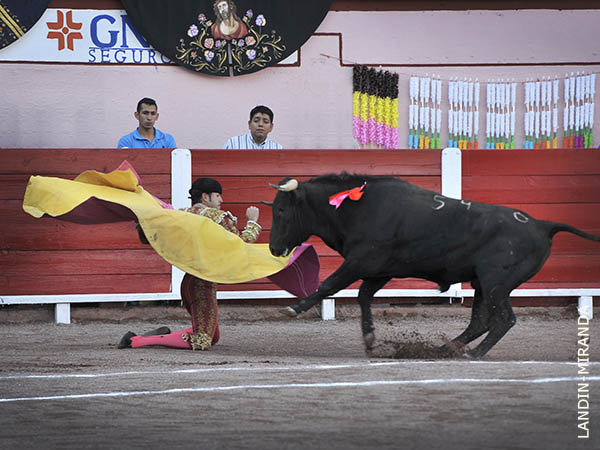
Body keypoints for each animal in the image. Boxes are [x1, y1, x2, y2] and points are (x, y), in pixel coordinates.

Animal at [268, 173, 600, 358]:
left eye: (282, 211)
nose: (273, 248)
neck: (357, 207)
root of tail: (543, 225)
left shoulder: (361, 260)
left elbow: (328, 284)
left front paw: (293, 308)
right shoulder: (380, 270)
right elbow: (363, 297)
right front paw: (370, 340)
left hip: (496, 282)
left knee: (504, 319)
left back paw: (472, 354)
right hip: (483, 284)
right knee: (480, 321)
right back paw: (445, 349)